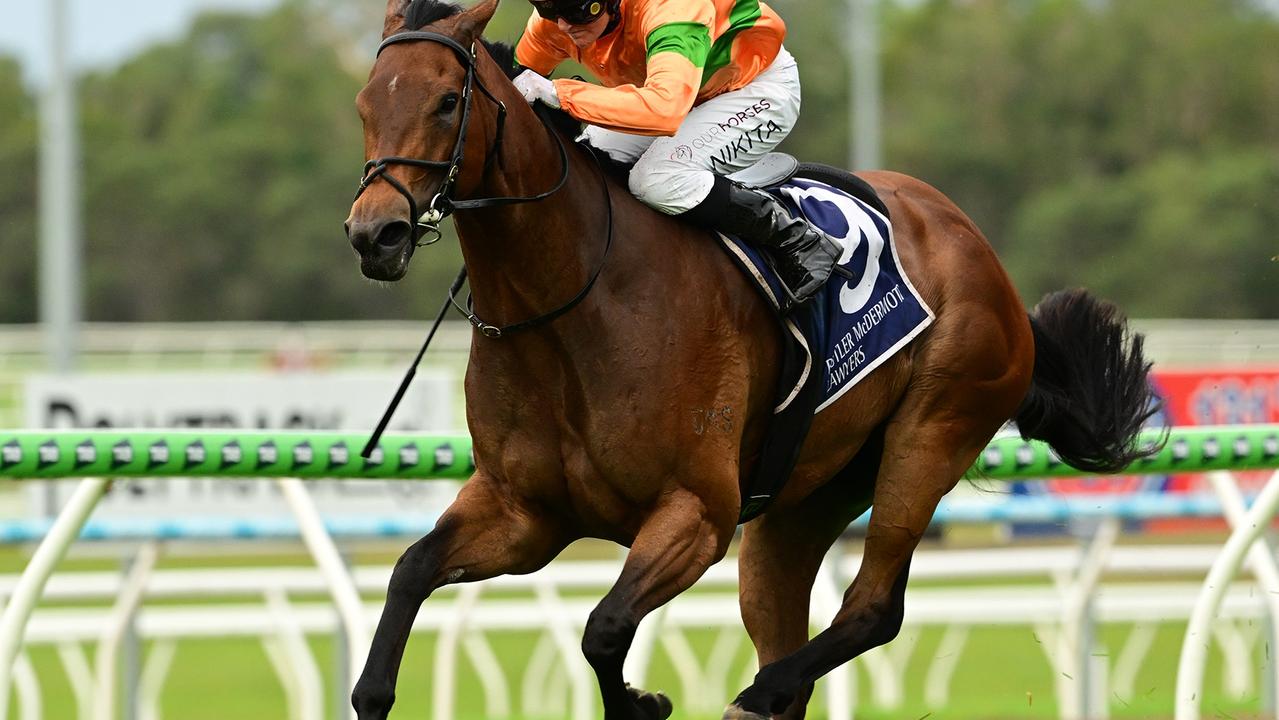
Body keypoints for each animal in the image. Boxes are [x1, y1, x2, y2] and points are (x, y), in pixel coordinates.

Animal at [342, 0, 1161, 716]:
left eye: (447, 101)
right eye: (363, 104)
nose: (374, 235)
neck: (571, 301)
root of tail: (981, 253)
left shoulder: (697, 514)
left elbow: (604, 629)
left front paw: (645, 702)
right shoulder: (524, 512)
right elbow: (410, 571)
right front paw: (374, 691)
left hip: (931, 434)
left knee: (873, 607)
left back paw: (758, 694)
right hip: (807, 498)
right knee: (788, 614)